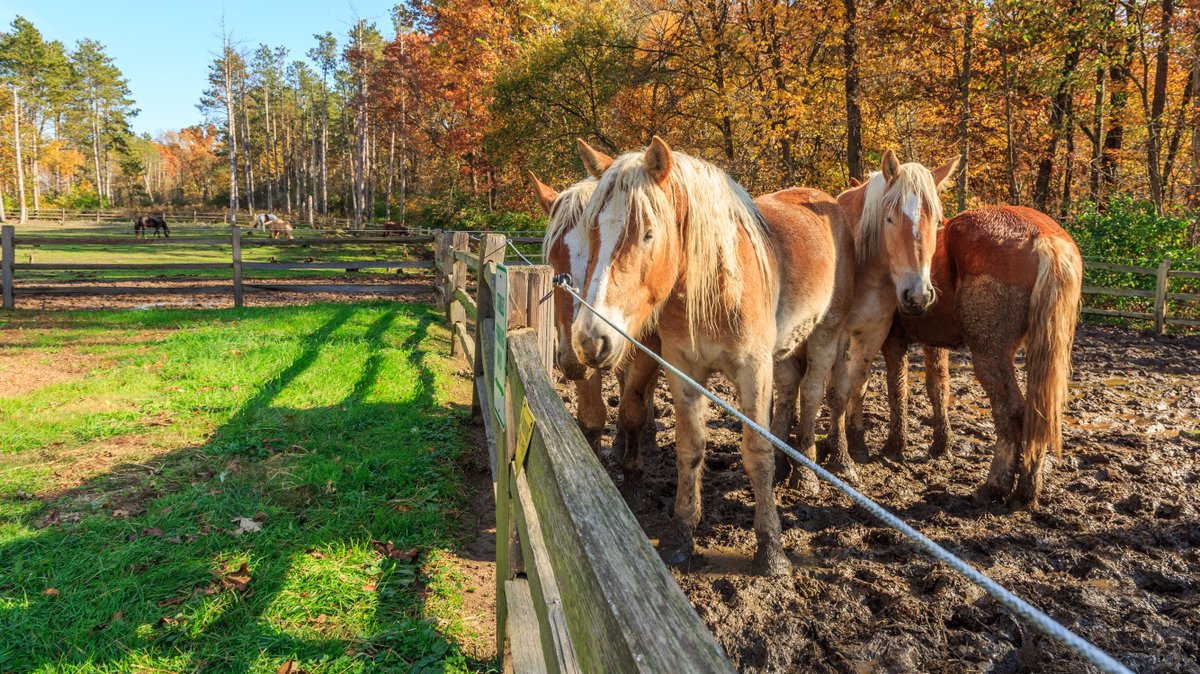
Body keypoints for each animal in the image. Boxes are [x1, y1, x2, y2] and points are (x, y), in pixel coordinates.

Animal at [570, 137, 850, 576]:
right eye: (592, 231)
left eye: (648, 234)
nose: (590, 339)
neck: (712, 291)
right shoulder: (683, 371)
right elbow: (691, 449)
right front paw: (682, 535)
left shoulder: (753, 371)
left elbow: (757, 453)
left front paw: (771, 551)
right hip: (784, 350)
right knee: (790, 392)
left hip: (826, 334)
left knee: (812, 395)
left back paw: (804, 474)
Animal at [876, 206, 1083, 508]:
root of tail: (1044, 236)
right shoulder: (934, 344)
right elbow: (938, 389)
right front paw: (940, 446)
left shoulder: (893, 342)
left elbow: (897, 390)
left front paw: (894, 445)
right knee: (1038, 415)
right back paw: (1028, 490)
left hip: (989, 354)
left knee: (1011, 411)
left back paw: (995, 486)